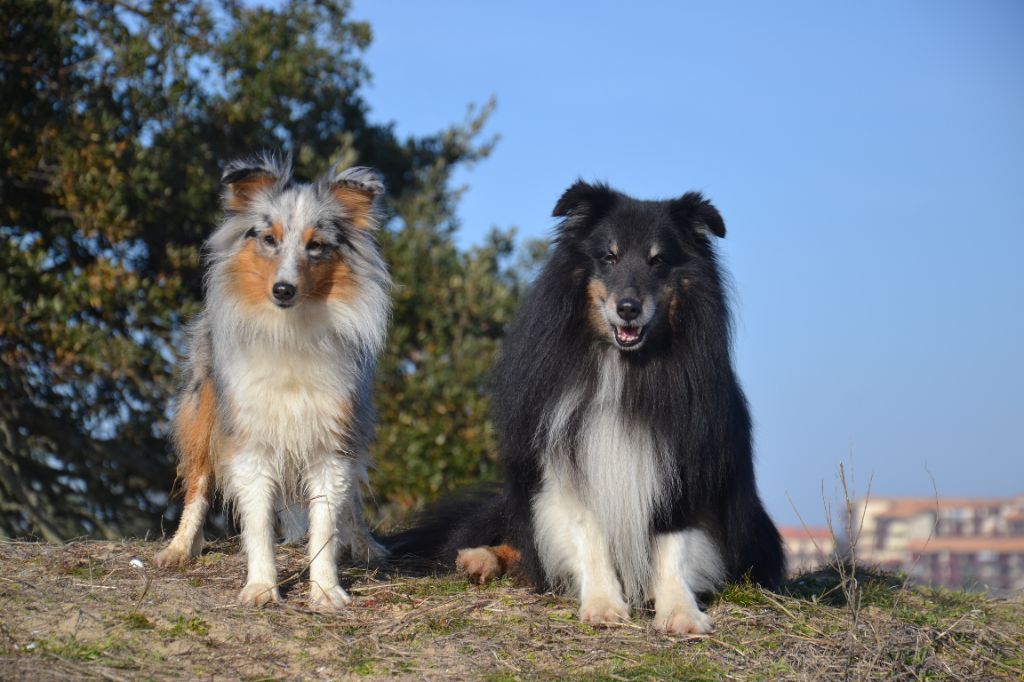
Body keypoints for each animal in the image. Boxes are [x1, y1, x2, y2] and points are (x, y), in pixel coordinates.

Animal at [155, 153, 391, 610]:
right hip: (202, 415)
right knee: (197, 487)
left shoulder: (331, 439)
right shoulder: (251, 441)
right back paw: (177, 549)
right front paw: (262, 588)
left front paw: (326, 592)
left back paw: (365, 544)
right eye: (269, 239)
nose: (284, 290)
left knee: (351, 500)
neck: (290, 331)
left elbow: (326, 523)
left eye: (316, 246)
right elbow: (259, 523)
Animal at [391, 179, 782, 630]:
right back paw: (479, 559)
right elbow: (588, 537)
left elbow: (674, 548)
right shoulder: (568, 459)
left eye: (658, 261)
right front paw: (603, 606)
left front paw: (681, 613)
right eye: (608, 257)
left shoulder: (683, 465)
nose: (628, 309)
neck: (624, 368)